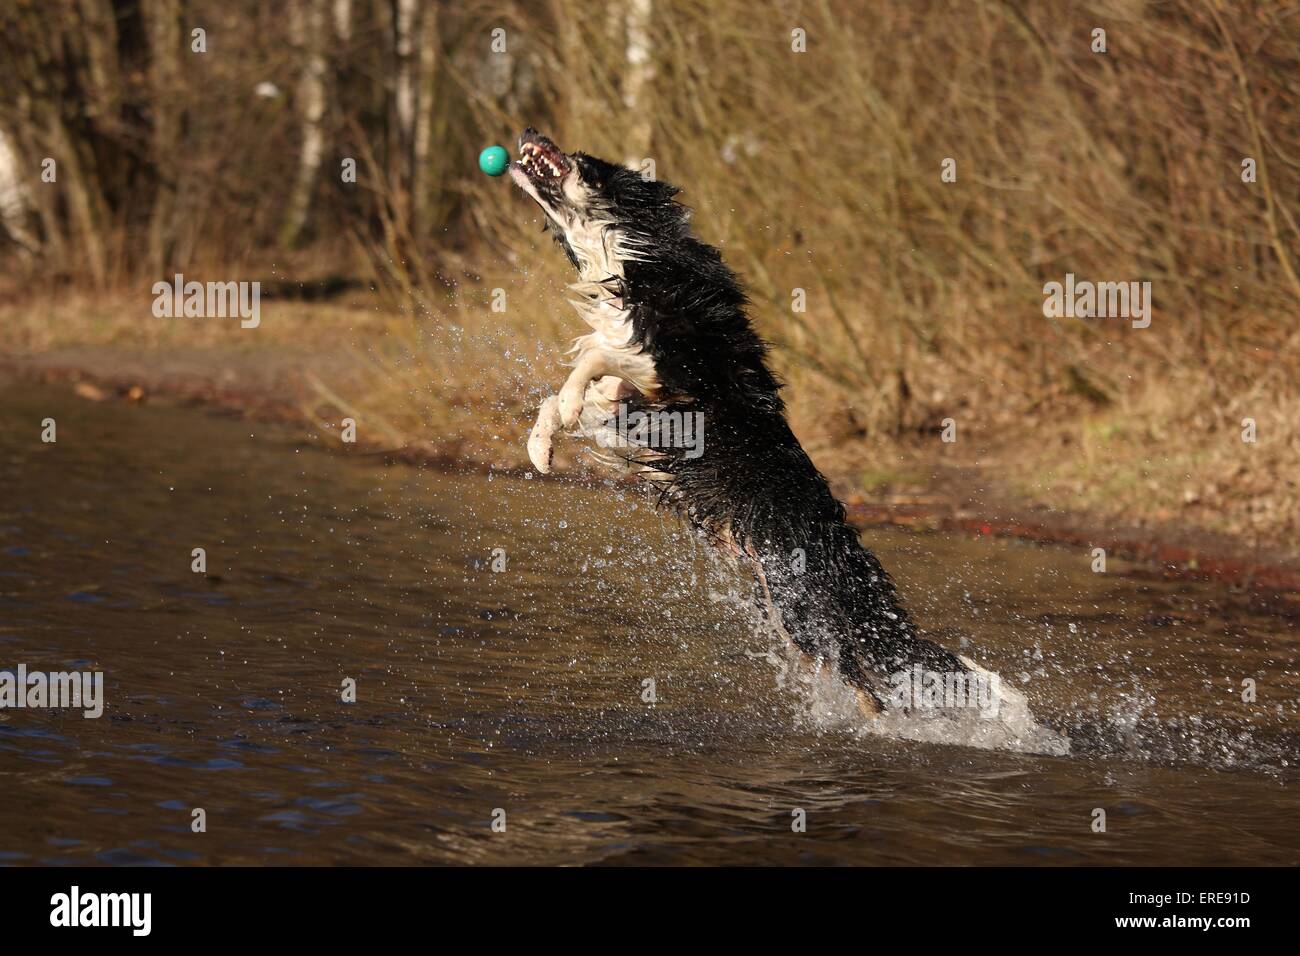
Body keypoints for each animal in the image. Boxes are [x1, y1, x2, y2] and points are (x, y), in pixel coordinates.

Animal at [512, 128, 1019, 723]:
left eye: (583, 158)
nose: (529, 131)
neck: (633, 252)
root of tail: (848, 554)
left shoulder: (674, 368)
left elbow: (593, 356)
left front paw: (566, 408)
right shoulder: (634, 399)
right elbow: (570, 391)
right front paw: (541, 446)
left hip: (801, 605)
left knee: (868, 685)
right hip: (781, 604)